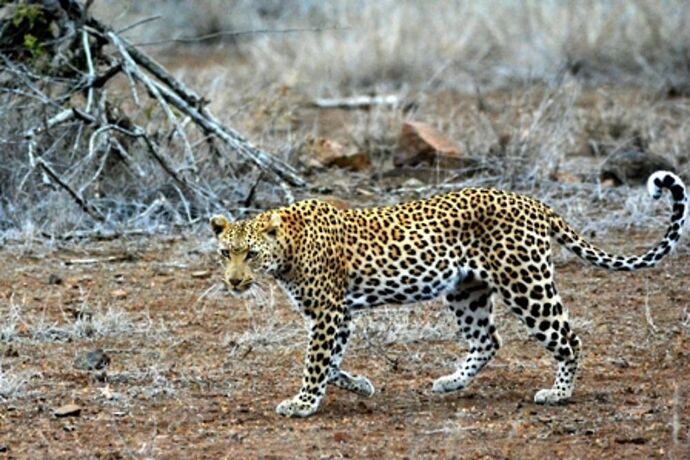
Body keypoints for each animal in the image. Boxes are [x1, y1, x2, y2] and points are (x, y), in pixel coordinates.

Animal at [208, 171, 684, 418]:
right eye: (225, 253)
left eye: (250, 254)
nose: (234, 281)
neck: (287, 248)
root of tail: (533, 202)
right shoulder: (338, 313)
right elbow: (331, 361)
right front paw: (359, 385)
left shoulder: (327, 311)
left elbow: (315, 360)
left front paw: (304, 403)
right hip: (466, 291)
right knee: (488, 339)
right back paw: (452, 381)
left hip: (526, 284)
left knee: (569, 338)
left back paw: (558, 394)